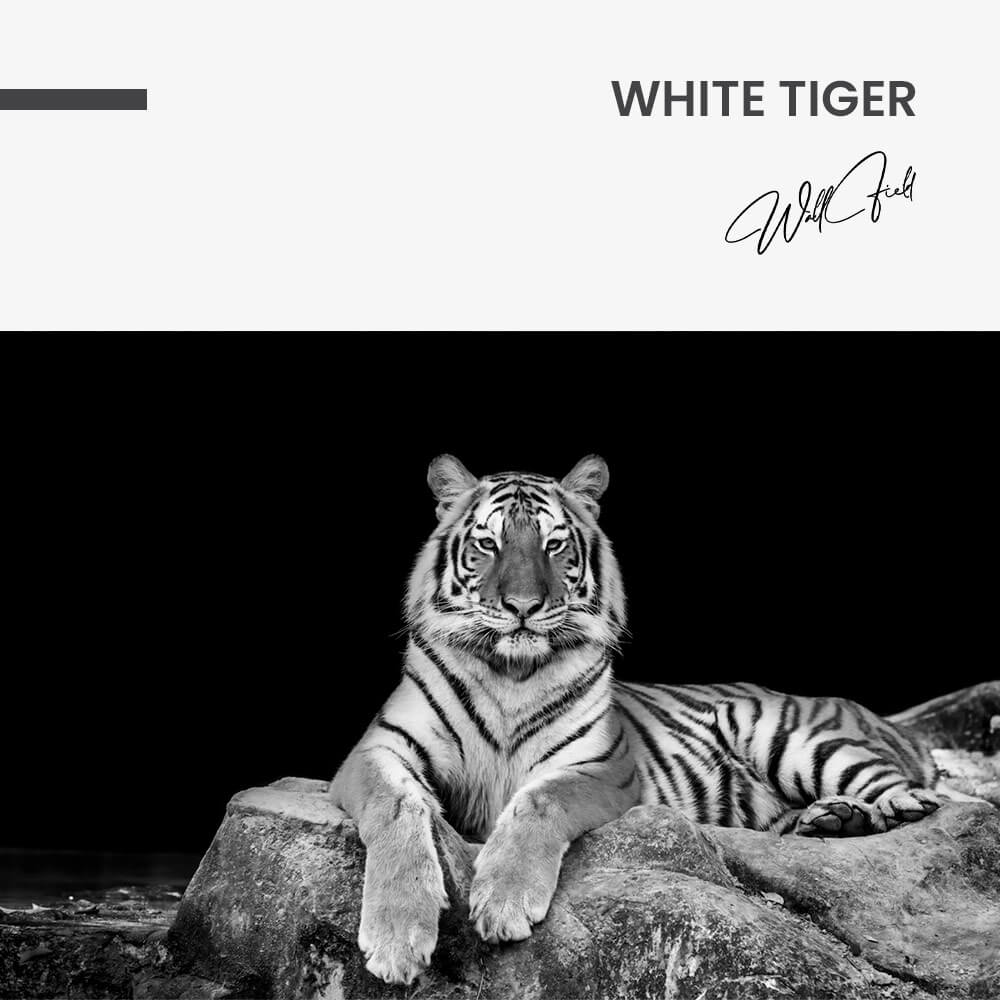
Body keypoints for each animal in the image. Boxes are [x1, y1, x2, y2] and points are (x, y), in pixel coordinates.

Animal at [330, 454, 940, 986]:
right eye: (488, 543)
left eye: (554, 545)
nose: (522, 607)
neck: (511, 673)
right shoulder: (376, 750)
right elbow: (396, 807)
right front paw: (397, 937)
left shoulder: (601, 764)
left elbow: (539, 800)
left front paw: (503, 900)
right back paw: (831, 820)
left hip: (788, 736)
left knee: (908, 790)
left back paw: (880, 809)